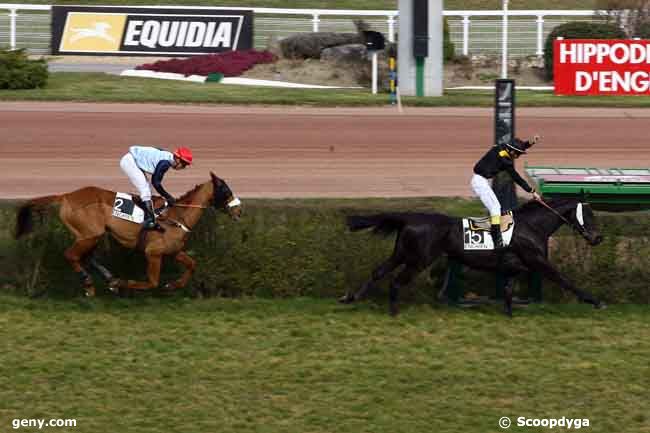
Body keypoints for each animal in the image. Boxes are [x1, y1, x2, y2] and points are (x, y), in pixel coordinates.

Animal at [14, 172, 240, 296]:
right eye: (226, 190)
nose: (238, 210)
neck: (178, 216)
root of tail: (66, 196)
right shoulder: (153, 253)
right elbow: (152, 282)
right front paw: (124, 284)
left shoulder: (174, 251)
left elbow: (192, 265)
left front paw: (172, 285)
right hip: (89, 234)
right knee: (71, 255)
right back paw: (90, 284)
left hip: (93, 235)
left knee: (88, 257)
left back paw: (107, 280)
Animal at [340, 197, 604, 316]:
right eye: (589, 216)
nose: (598, 238)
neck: (532, 226)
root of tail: (409, 218)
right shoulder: (537, 261)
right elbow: (564, 280)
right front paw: (595, 301)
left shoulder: (516, 266)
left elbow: (509, 288)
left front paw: (508, 312)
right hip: (419, 259)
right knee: (395, 280)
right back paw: (393, 310)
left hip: (403, 253)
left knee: (378, 272)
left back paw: (351, 297)